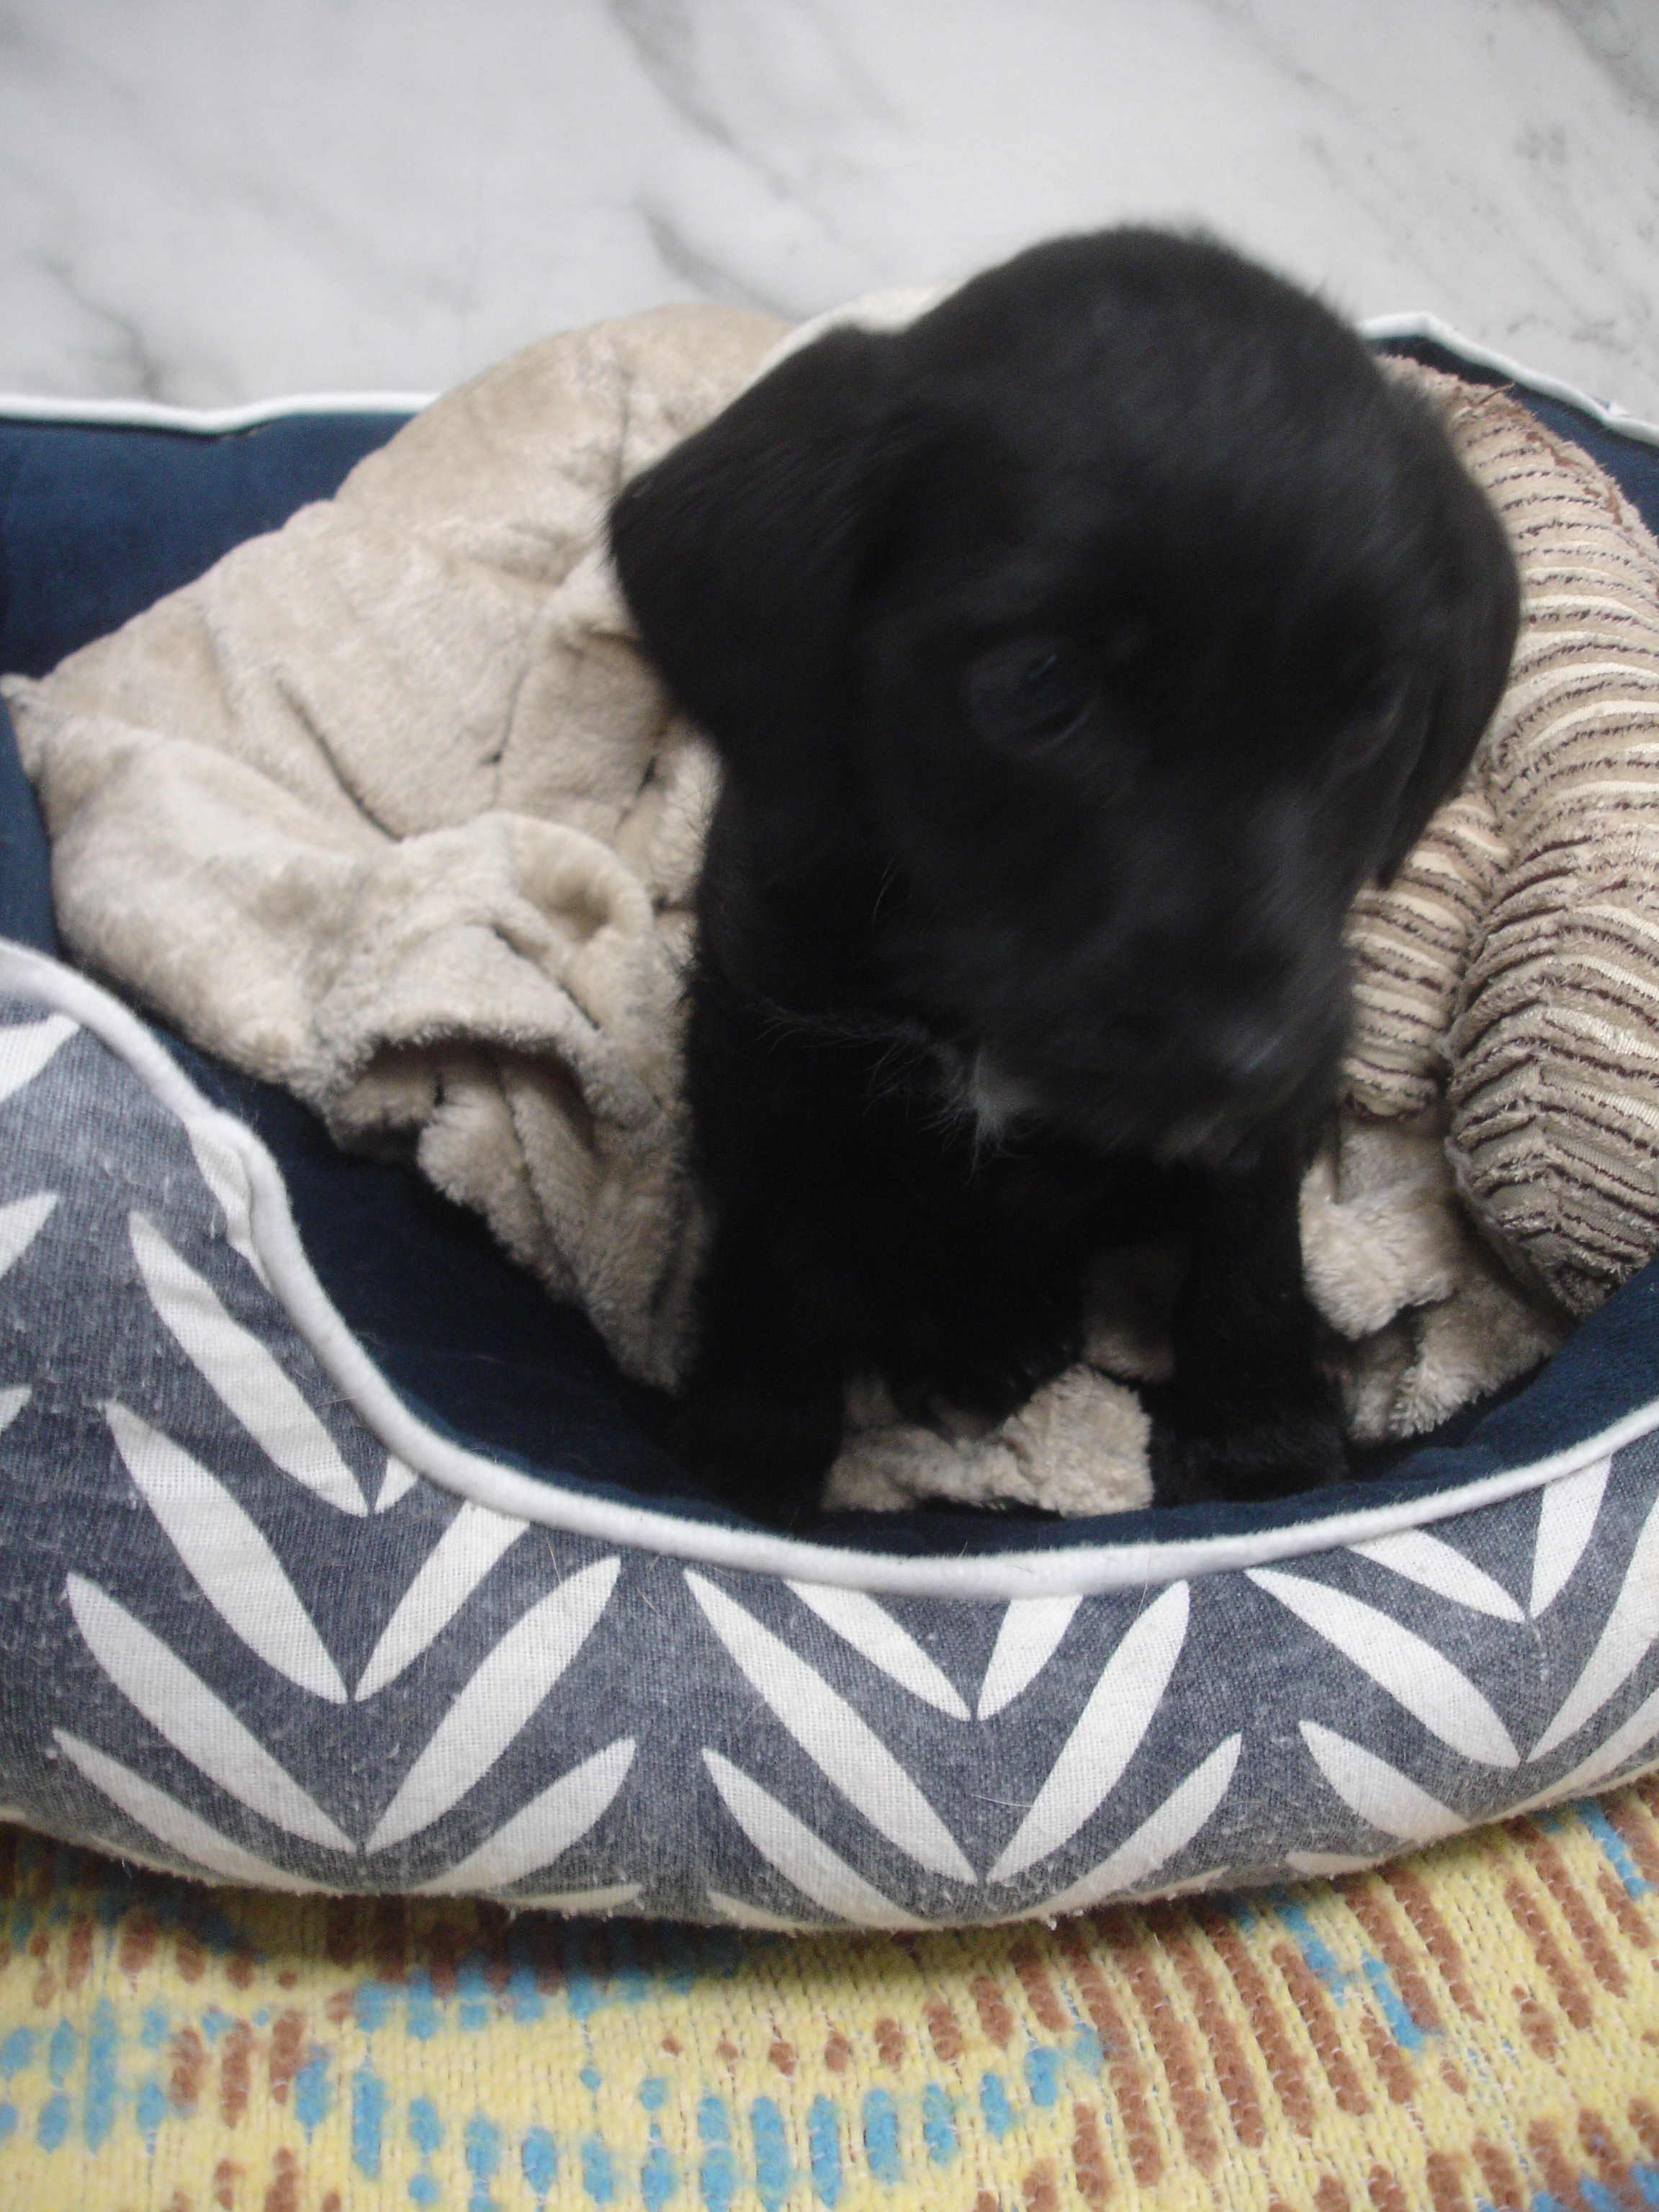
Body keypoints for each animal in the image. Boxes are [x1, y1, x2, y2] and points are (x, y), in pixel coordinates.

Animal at [609, 229, 1520, 1528]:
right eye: (1040, 684)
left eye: (1373, 708)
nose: (1242, 1059)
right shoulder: (772, 1045)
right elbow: (781, 1254)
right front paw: (751, 1445)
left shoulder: (1271, 1110)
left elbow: (1249, 1250)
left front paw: (1259, 1442)